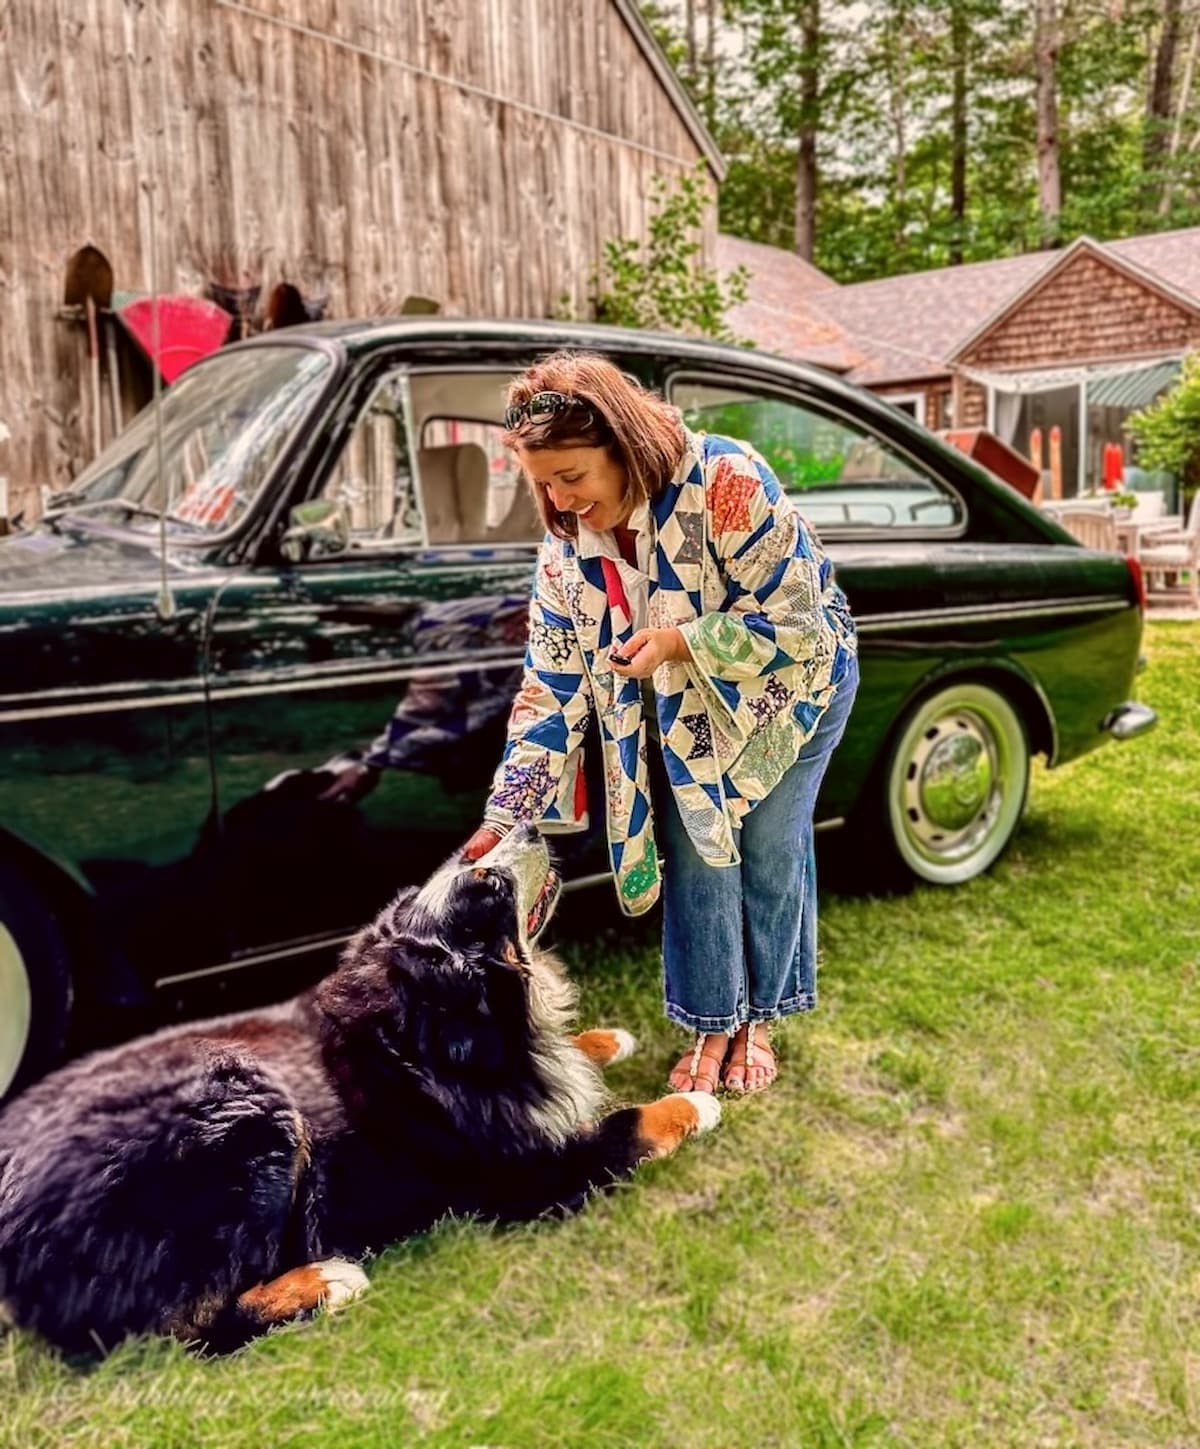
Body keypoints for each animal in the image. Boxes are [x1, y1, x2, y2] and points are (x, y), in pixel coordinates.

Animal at [0, 828, 713, 1356]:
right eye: (488, 882)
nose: (537, 828)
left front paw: (604, 1041)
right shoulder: (521, 1179)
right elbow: (625, 1126)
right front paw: (696, 1103)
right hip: (250, 1107)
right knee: (178, 1334)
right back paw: (326, 1281)